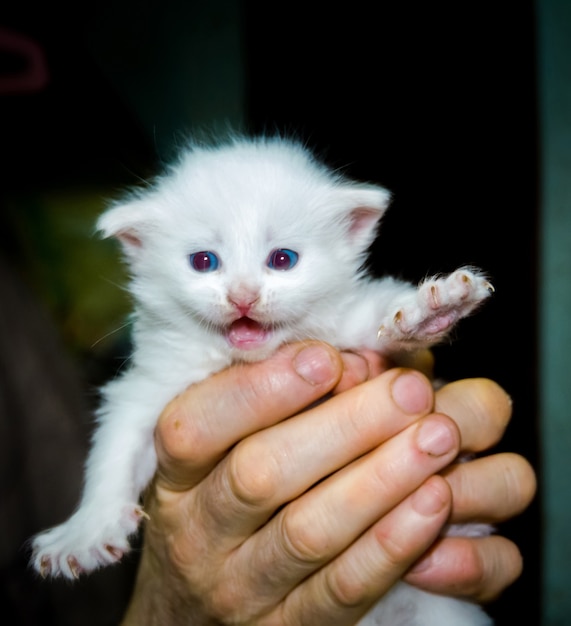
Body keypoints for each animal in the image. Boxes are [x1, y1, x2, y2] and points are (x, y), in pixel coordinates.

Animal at [32, 134, 496, 620]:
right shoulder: (150, 384)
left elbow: (384, 320)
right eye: (203, 261)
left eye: (282, 259)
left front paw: (432, 309)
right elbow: (114, 448)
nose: (243, 297)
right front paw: (86, 531)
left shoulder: (347, 322)